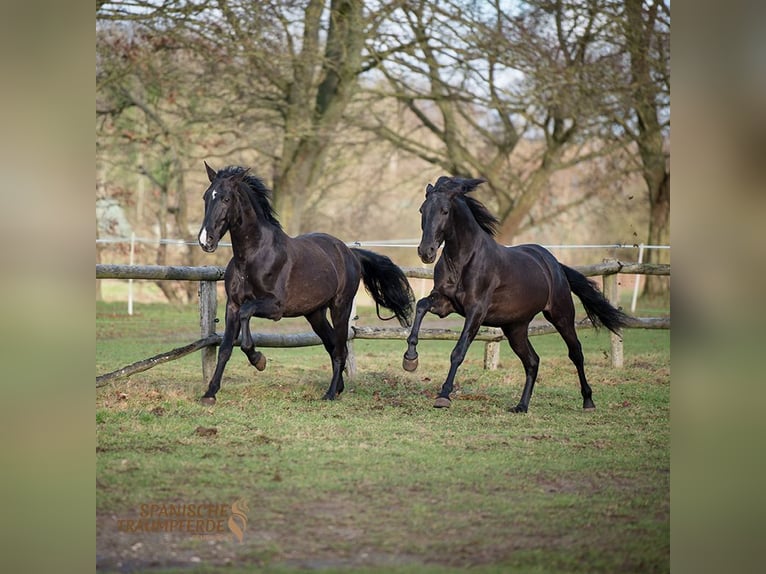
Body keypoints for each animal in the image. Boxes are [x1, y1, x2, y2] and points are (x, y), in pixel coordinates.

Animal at [198, 163, 414, 404]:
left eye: (226, 198)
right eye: (206, 196)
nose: (206, 240)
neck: (252, 257)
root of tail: (350, 253)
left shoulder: (274, 307)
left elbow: (246, 318)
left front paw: (258, 359)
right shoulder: (232, 306)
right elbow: (225, 348)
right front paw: (209, 393)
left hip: (340, 307)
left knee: (340, 349)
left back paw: (330, 393)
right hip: (315, 313)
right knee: (331, 344)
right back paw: (338, 388)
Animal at [402, 176, 632, 414]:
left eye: (445, 211)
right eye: (422, 210)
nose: (426, 252)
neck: (464, 260)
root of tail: (554, 264)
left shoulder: (476, 310)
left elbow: (458, 351)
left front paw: (443, 396)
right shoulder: (445, 303)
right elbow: (421, 305)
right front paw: (410, 359)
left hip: (561, 315)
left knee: (575, 352)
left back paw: (588, 401)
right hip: (515, 328)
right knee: (532, 361)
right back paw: (521, 406)